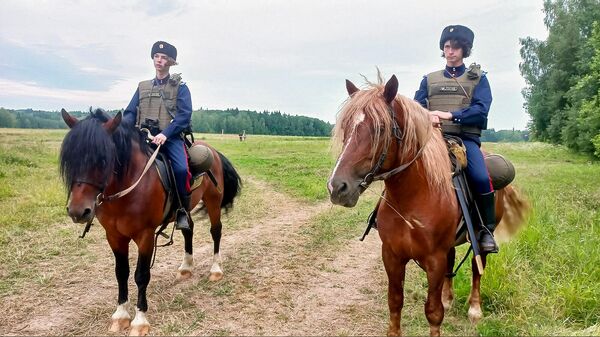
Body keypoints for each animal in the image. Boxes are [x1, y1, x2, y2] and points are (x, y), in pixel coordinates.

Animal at [59, 109, 241, 334]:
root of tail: (213, 152)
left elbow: (141, 275)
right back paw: (186, 267)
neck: (129, 187)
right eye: (70, 159)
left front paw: (140, 320)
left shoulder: (144, 236)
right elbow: (121, 272)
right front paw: (120, 314)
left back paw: (216, 269)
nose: (78, 211)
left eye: (103, 159)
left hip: (213, 202)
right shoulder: (114, 236)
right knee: (188, 229)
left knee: (216, 231)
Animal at [326, 75, 528, 334]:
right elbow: (394, 302)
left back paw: (474, 308)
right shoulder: (392, 255)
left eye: (380, 129)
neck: (410, 200)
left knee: (477, 266)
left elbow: (433, 312)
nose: (337, 188)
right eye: (347, 127)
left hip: (481, 237)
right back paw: (449, 298)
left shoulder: (434, 259)